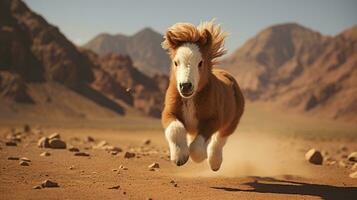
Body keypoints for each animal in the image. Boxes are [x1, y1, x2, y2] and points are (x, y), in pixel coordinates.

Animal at [160, 19, 243, 170]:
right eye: (176, 62)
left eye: (200, 62)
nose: (186, 86)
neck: (190, 99)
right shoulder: (168, 112)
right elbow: (175, 129)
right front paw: (179, 156)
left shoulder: (214, 119)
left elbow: (197, 147)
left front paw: (200, 156)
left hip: (233, 121)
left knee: (220, 139)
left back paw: (215, 162)